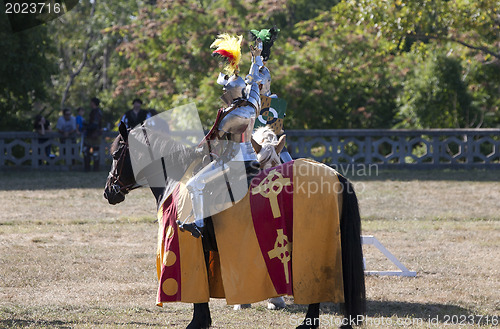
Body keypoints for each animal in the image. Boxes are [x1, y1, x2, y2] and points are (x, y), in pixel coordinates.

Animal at [103, 123, 366, 328]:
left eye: (116, 155)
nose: (108, 191)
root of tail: (335, 175)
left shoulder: (189, 248)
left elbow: (198, 288)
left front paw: (197, 322)